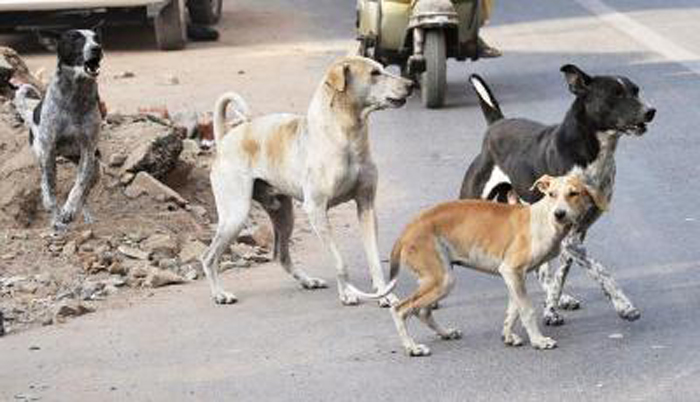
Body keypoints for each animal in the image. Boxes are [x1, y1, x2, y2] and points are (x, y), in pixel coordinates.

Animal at [200, 57, 412, 304]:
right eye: (374, 73)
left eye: (382, 68)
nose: (411, 84)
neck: (346, 135)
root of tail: (225, 137)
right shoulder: (316, 210)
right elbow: (340, 262)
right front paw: (348, 293)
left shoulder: (366, 206)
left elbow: (374, 258)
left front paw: (384, 294)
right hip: (235, 215)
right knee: (208, 257)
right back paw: (219, 294)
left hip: (284, 214)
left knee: (280, 255)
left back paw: (308, 281)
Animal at [386, 173, 604, 354]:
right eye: (552, 194)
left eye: (573, 194)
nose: (559, 214)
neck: (543, 220)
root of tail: (407, 230)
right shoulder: (511, 270)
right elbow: (527, 310)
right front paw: (538, 341)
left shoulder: (514, 276)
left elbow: (513, 310)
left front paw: (508, 336)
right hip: (442, 280)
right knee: (401, 309)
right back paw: (412, 347)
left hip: (438, 279)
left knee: (422, 311)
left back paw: (446, 333)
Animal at [462, 64, 652, 326]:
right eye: (615, 94)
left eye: (636, 91)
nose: (651, 111)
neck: (592, 155)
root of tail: (496, 125)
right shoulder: (569, 239)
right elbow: (601, 270)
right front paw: (624, 305)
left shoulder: (575, 234)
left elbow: (561, 275)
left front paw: (552, 307)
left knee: (542, 270)